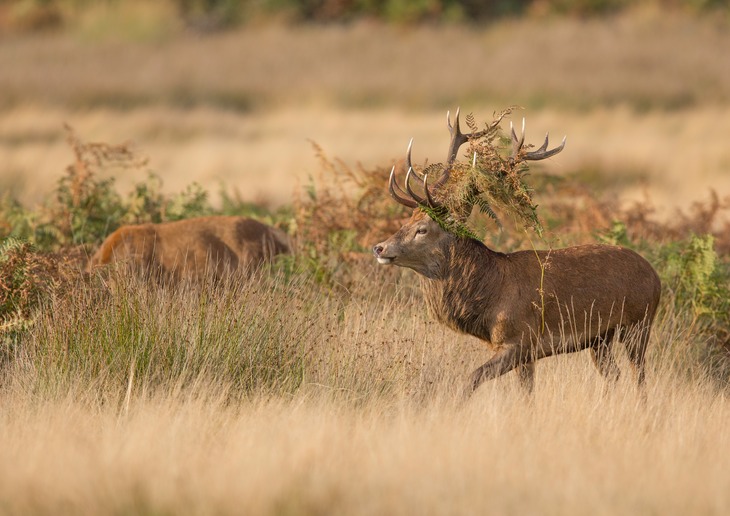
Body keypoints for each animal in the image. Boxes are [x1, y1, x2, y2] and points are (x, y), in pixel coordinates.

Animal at [372, 109, 664, 396]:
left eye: (422, 229)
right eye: (406, 221)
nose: (379, 247)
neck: (489, 295)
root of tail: (655, 276)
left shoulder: (520, 339)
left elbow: (471, 379)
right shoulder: (525, 352)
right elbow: (525, 394)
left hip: (639, 323)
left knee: (640, 377)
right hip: (600, 339)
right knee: (614, 375)